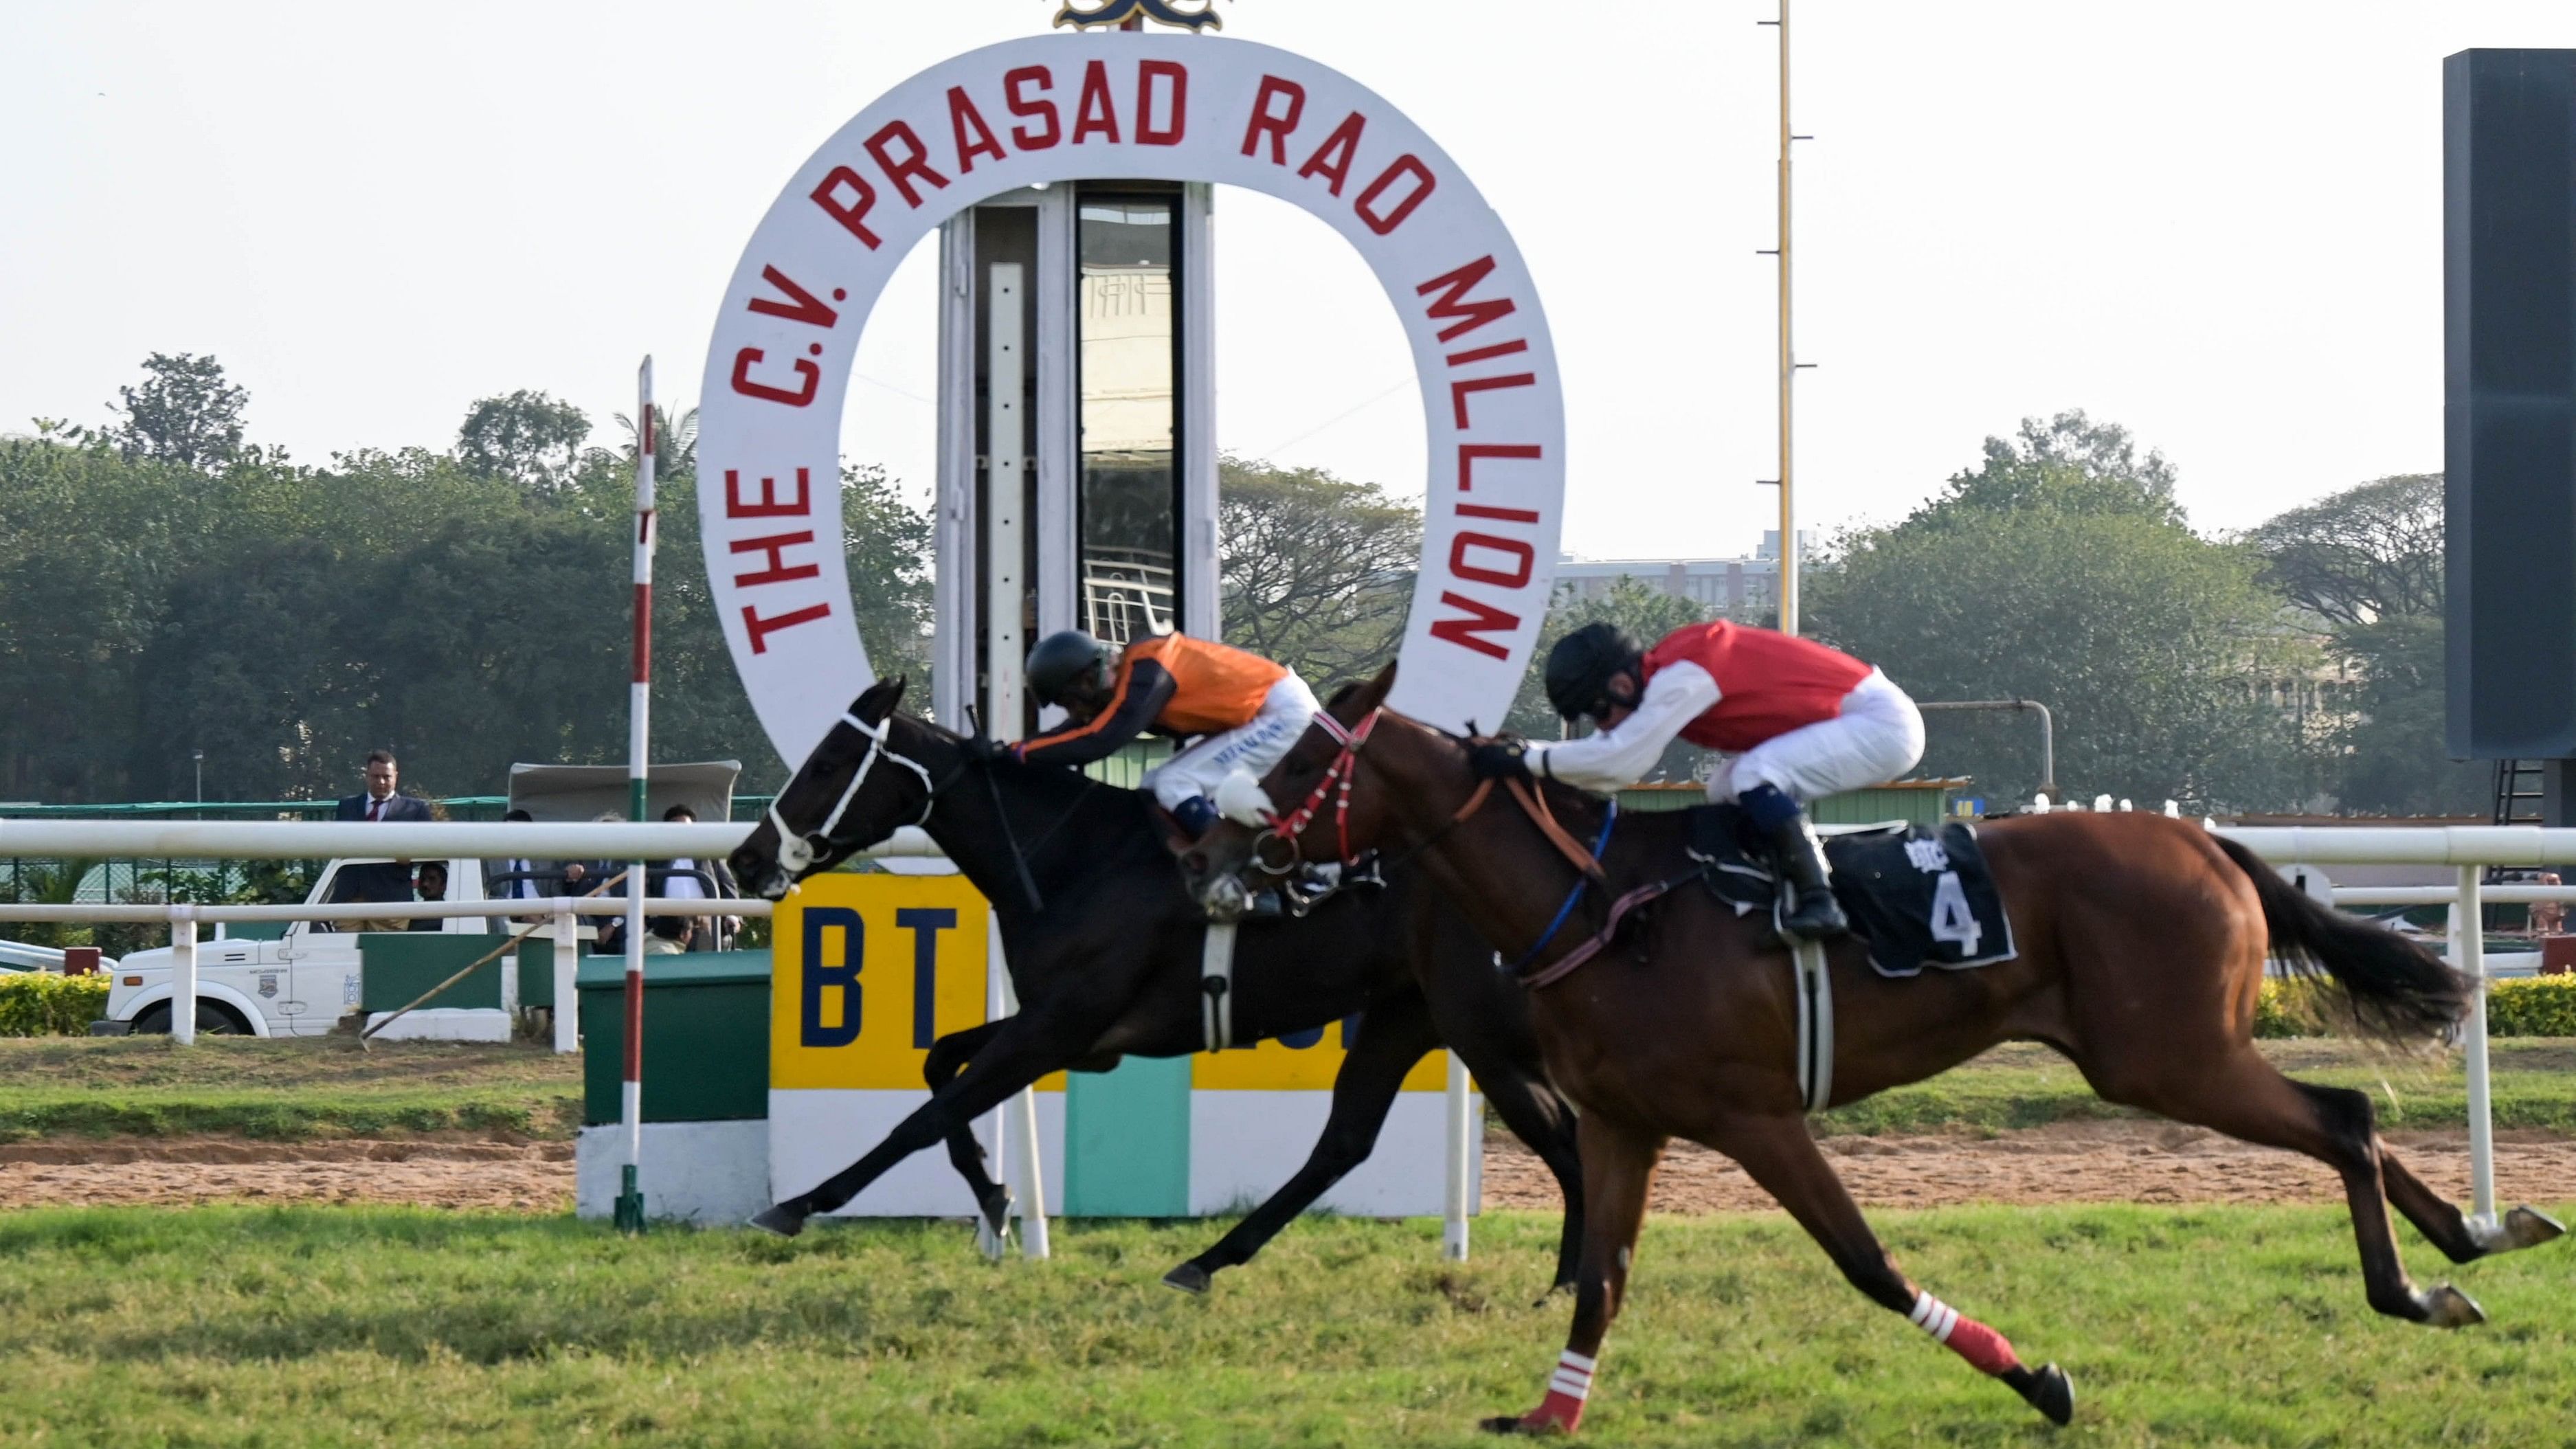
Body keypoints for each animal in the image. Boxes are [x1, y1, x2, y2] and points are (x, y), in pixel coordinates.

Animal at [726, 674, 1587, 1296]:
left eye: (827, 764)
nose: (744, 859)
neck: (1071, 855)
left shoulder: (1063, 1025)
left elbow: (925, 1116)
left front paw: (801, 1204)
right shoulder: (1066, 1028)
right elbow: (940, 1063)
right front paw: (995, 1197)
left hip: (1479, 1026)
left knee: (1565, 1134)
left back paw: (1572, 1280)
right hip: (1406, 1012)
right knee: (1343, 1142)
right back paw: (1204, 1261)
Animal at [1180, 664, 2555, 1430]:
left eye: (1297, 762)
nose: (1206, 849)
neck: (1598, 906)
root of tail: (2204, 838)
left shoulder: (1755, 1118)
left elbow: (1868, 1263)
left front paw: (2033, 1378)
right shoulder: (1626, 1121)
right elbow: (1602, 1279)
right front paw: (1546, 1415)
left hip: (2165, 1058)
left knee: (2340, 1118)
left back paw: (2412, 1285)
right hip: (2168, 1055)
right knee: (2348, 1123)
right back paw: (2473, 1239)